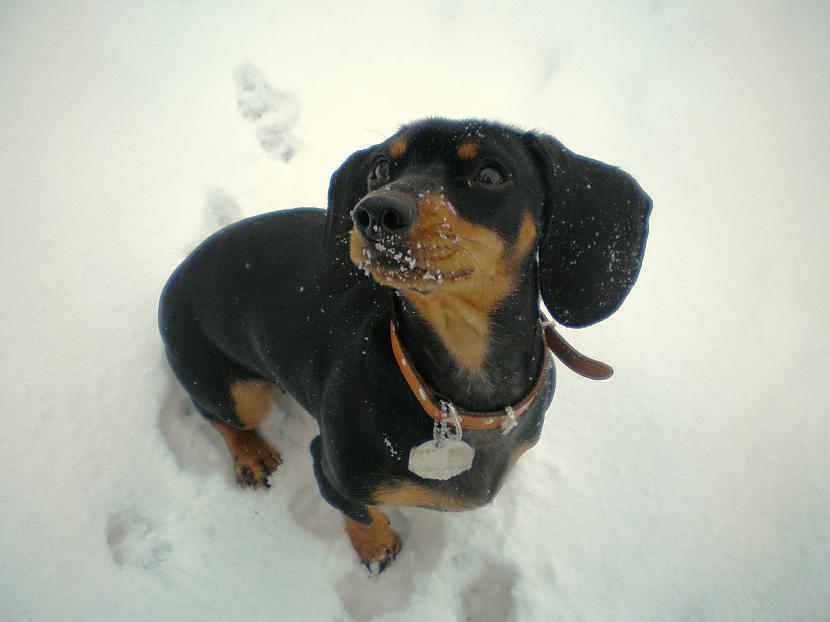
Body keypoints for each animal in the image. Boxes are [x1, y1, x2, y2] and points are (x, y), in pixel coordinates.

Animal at [161, 119, 656, 572]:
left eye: (491, 175)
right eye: (381, 167)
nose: (374, 213)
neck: (460, 401)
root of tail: (177, 276)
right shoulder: (330, 468)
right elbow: (360, 513)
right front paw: (376, 548)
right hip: (241, 396)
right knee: (216, 413)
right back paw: (252, 456)